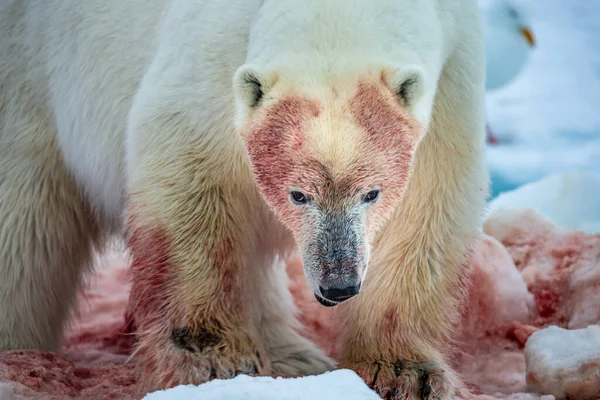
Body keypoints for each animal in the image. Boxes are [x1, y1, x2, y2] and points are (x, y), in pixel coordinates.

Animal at [0, 0, 488, 396]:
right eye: (298, 194)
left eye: (372, 193)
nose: (338, 285)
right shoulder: (210, 65)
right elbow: (190, 186)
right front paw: (214, 360)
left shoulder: (451, 81)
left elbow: (428, 209)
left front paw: (404, 373)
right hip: (28, 79)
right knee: (25, 231)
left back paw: (294, 355)